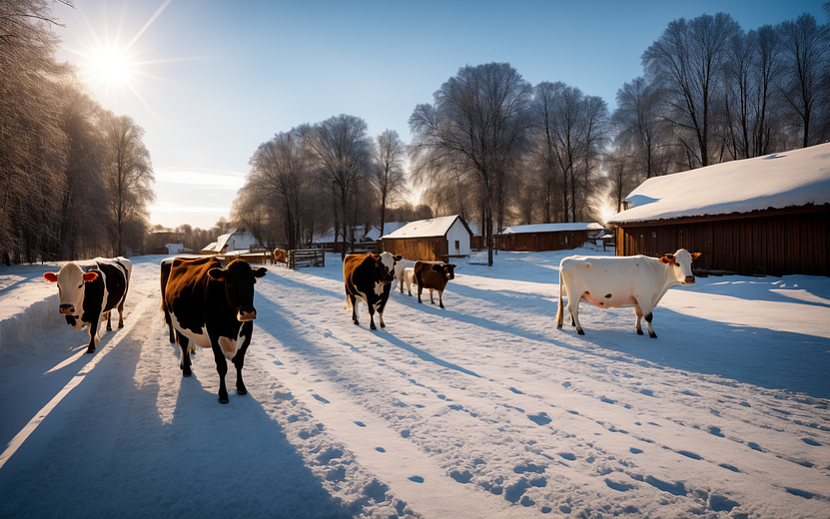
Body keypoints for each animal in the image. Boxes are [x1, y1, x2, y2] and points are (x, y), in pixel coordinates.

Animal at [162, 258, 266, 404]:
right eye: (230, 284)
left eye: (253, 281)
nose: (248, 312)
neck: (233, 327)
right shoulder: (214, 336)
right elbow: (222, 366)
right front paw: (223, 395)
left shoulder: (247, 334)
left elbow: (239, 362)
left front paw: (241, 388)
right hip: (178, 325)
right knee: (183, 344)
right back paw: (186, 370)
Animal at [560, 250, 704, 340]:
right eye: (677, 263)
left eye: (691, 263)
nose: (690, 278)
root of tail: (568, 260)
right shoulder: (644, 297)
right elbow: (649, 316)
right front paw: (652, 333)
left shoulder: (638, 299)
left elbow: (639, 315)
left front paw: (639, 330)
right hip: (574, 292)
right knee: (573, 309)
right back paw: (580, 329)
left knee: (572, 309)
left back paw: (574, 324)